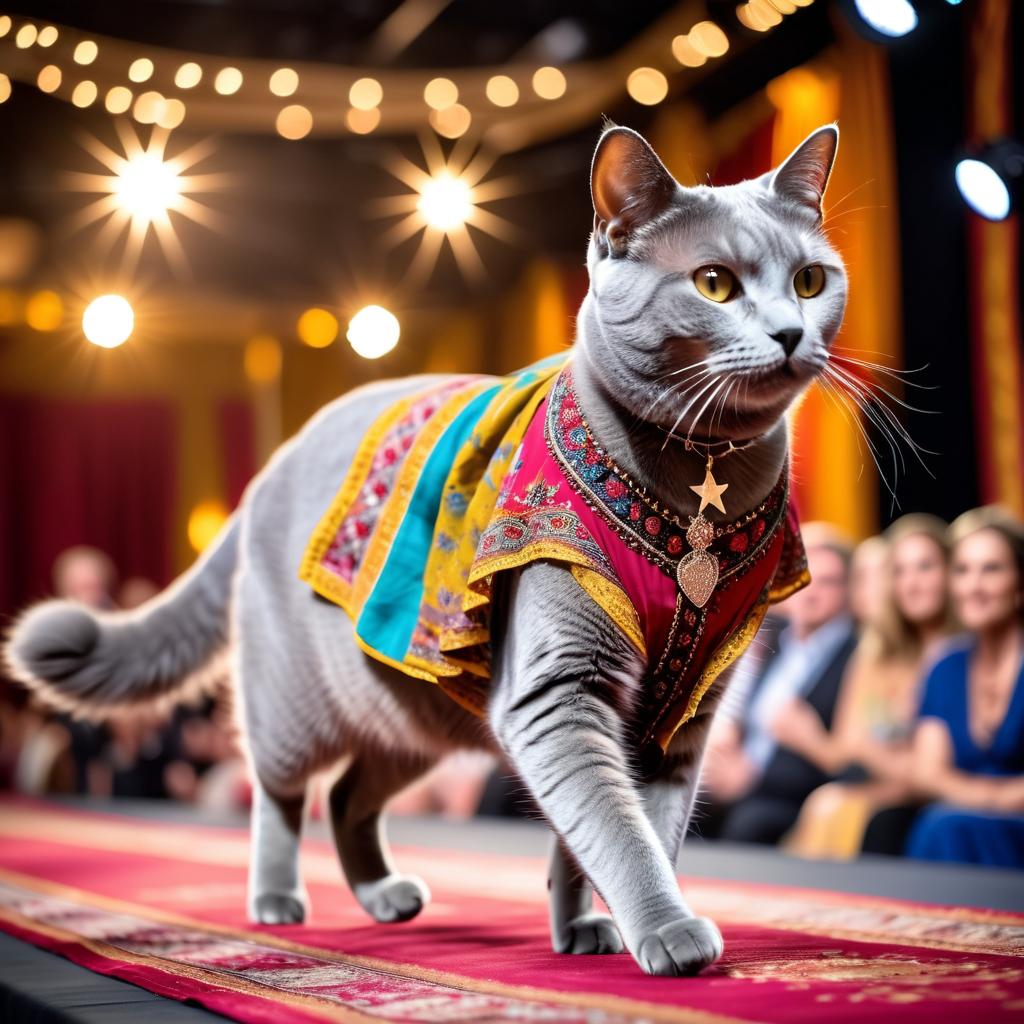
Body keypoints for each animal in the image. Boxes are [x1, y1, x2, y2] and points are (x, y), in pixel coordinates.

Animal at [4, 123, 843, 978]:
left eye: (811, 280)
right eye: (713, 284)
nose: (790, 332)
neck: (698, 496)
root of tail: (279, 455)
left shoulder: (683, 713)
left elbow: (632, 829)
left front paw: (584, 928)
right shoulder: (560, 690)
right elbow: (616, 827)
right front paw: (668, 932)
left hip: (414, 704)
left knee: (349, 794)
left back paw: (385, 897)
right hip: (293, 701)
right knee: (280, 792)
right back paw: (275, 902)